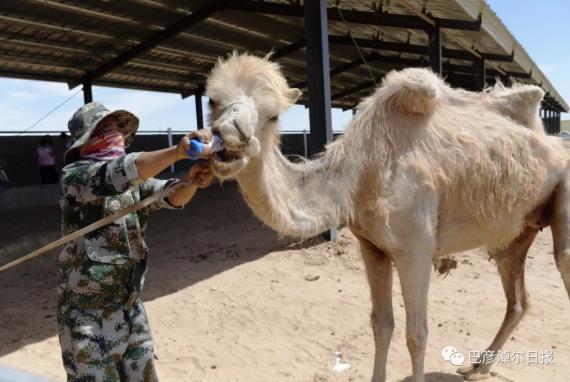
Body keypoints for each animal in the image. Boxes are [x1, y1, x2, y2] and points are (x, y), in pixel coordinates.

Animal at [202, 52, 564, 380]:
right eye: (212, 101)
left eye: (273, 115)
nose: (232, 134)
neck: (364, 169)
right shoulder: (371, 247)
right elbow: (381, 325)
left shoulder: (415, 251)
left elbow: (416, 335)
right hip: (515, 234)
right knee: (518, 300)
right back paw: (477, 367)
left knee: (561, 262)